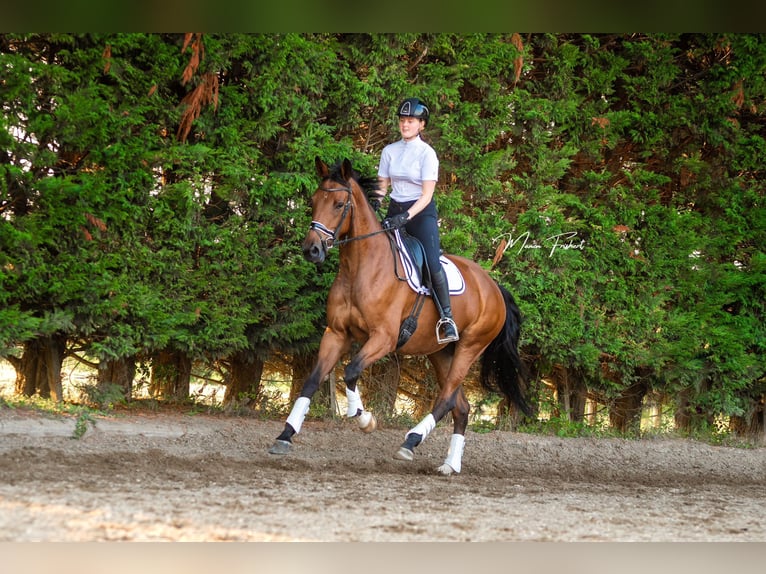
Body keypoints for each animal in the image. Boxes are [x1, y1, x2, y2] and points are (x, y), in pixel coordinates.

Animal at [268, 159, 532, 476]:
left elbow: (351, 371)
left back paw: (410, 442)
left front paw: (364, 418)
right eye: (313, 201)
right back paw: (449, 465)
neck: (360, 268)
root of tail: (494, 287)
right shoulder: (336, 333)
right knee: (461, 406)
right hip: (441, 352)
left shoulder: (383, 338)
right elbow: (312, 380)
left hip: (471, 346)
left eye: (340, 204)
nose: (312, 250)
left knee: (446, 399)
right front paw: (285, 436)